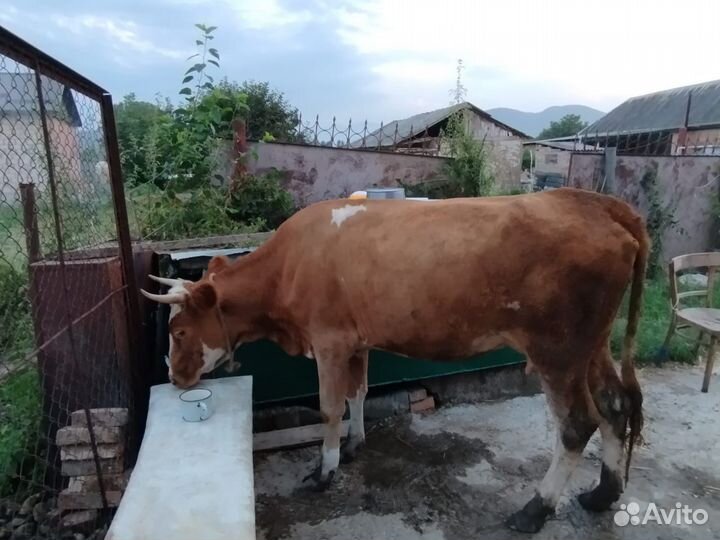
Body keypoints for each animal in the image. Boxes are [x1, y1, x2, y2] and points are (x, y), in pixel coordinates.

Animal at [141, 188, 647, 533]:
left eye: (179, 331)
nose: (174, 377)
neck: (289, 267)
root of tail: (594, 202)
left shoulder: (328, 341)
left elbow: (328, 407)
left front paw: (324, 471)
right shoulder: (356, 342)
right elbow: (357, 393)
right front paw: (354, 444)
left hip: (556, 351)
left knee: (577, 424)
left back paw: (535, 510)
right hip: (592, 345)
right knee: (615, 406)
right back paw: (602, 494)